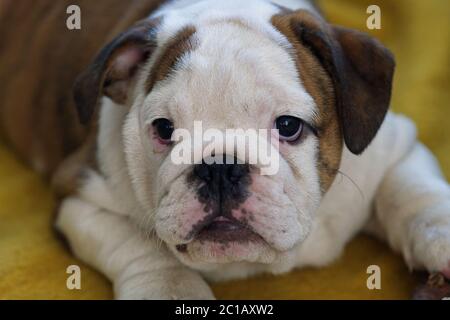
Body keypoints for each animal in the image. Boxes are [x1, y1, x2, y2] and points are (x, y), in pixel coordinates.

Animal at [0, 0, 450, 300]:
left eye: (289, 127)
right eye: (163, 129)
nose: (220, 167)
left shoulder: (395, 148)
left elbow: (417, 197)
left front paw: (442, 240)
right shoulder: (81, 195)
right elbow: (146, 251)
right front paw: (173, 289)